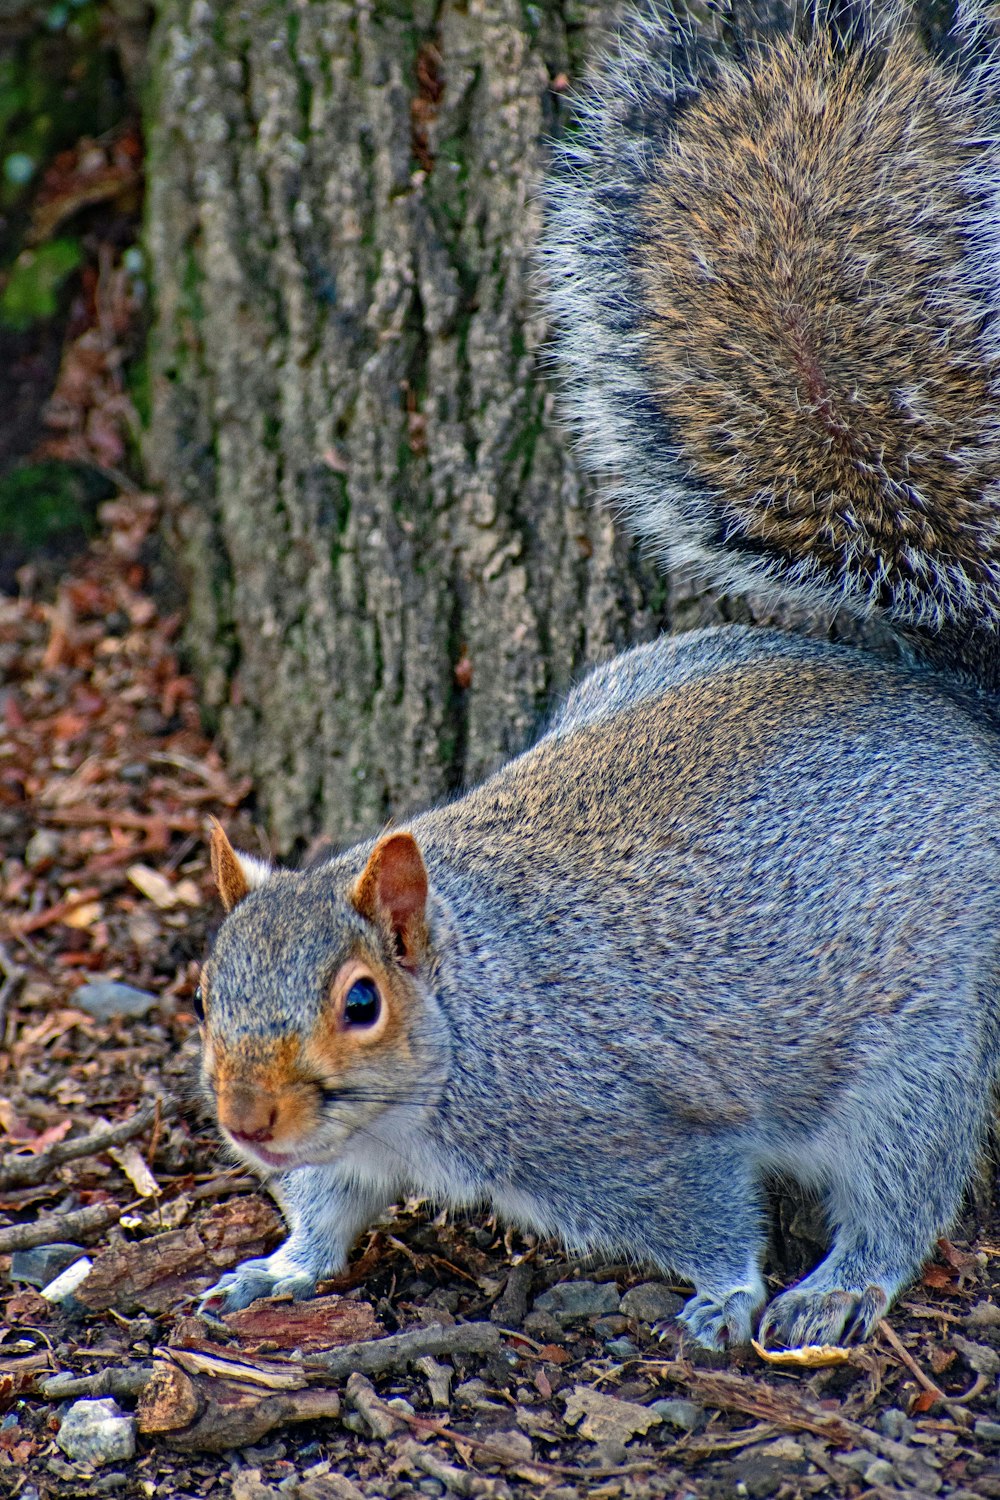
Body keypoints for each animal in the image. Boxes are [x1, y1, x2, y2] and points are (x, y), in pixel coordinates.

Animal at [193, 0, 1000, 1356]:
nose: (247, 1122)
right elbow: (324, 1211)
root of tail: (959, 704)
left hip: (928, 1040)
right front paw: (278, 1265)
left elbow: (704, 1208)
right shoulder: (346, 1157)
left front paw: (726, 1296)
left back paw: (838, 1287)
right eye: (206, 986)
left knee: (905, 1180)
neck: (464, 1015)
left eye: (359, 1002)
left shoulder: (615, 1131)